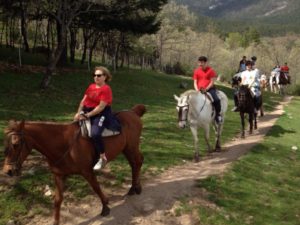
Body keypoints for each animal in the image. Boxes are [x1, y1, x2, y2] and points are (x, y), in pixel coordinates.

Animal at [1, 105, 146, 225]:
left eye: (16, 144)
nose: (8, 171)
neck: (64, 144)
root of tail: (133, 112)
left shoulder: (87, 171)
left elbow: (96, 187)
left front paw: (105, 207)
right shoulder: (59, 176)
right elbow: (57, 200)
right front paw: (56, 221)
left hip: (131, 146)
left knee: (137, 162)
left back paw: (135, 188)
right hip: (126, 148)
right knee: (134, 164)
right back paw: (134, 187)